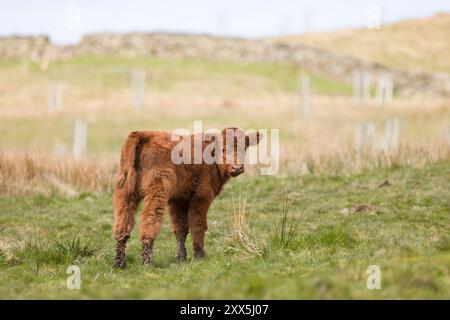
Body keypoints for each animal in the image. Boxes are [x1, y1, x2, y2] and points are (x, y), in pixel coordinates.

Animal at [111, 127, 264, 268]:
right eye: (223, 149)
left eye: (245, 147)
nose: (237, 168)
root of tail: (144, 133)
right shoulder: (202, 195)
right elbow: (198, 224)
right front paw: (199, 255)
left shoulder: (178, 199)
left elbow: (180, 228)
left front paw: (181, 257)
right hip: (156, 193)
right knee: (149, 220)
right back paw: (147, 262)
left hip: (125, 192)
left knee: (122, 223)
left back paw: (119, 263)